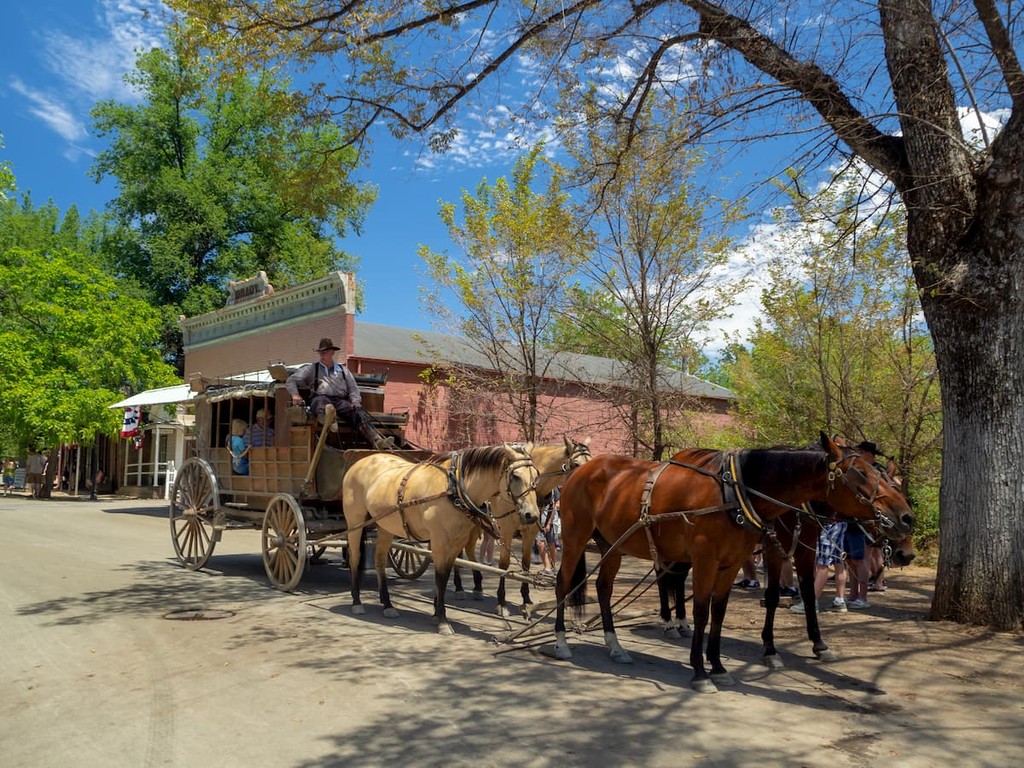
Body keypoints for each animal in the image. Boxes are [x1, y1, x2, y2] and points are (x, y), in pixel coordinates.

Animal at [339, 444, 540, 638]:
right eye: (515, 476)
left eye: (536, 475)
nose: (532, 515)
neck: (454, 488)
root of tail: (363, 461)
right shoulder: (439, 541)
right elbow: (441, 577)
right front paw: (442, 620)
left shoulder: (456, 541)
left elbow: (445, 574)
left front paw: (436, 612)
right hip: (355, 523)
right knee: (355, 558)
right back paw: (357, 601)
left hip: (385, 526)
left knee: (379, 560)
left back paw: (387, 604)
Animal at [454, 436, 593, 618]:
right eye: (576, 464)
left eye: (592, 461)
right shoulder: (506, 530)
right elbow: (504, 564)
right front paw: (502, 602)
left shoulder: (530, 531)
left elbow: (526, 564)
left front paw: (526, 600)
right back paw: (459, 587)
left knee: (469, 550)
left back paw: (477, 587)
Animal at [557, 436, 917, 696]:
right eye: (861, 474)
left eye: (887, 476)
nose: (906, 520)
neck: (737, 492)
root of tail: (582, 469)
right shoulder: (713, 559)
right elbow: (706, 610)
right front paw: (702, 671)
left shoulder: (735, 563)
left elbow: (719, 612)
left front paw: (717, 666)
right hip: (576, 538)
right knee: (564, 583)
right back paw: (561, 642)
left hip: (613, 544)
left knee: (605, 587)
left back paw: (616, 645)